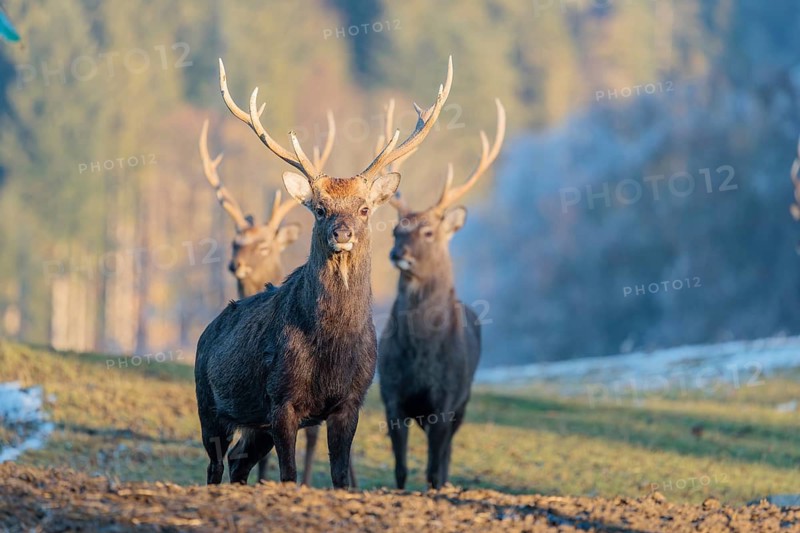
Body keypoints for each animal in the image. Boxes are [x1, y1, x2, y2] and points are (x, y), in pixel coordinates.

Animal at [377, 98, 505, 490]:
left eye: (429, 232)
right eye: (396, 230)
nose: (397, 253)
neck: (421, 354)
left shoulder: (446, 400)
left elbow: (435, 468)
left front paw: (437, 487)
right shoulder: (391, 395)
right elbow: (401, 470)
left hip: (465, 398)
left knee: (446, 457)